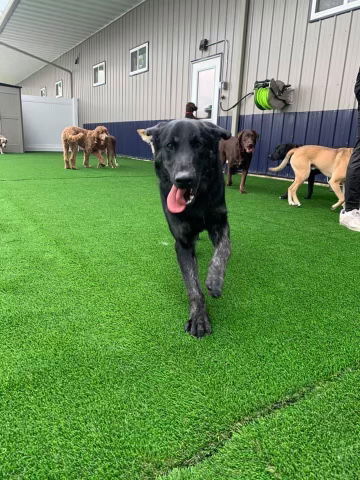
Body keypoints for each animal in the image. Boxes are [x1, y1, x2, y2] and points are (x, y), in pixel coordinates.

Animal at [139, 119, 232, 338]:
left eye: (198, 144)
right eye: (170, 146)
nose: (184, 179)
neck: (196, 204)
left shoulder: (220, 221)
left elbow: (224, 249)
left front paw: (215, 279)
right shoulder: (182, 243)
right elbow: (193, 285)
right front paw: (199, 317)